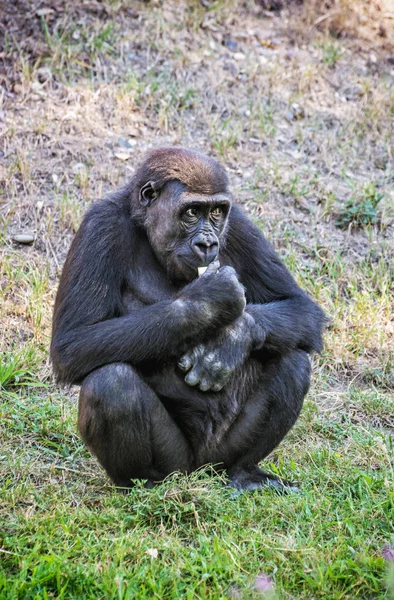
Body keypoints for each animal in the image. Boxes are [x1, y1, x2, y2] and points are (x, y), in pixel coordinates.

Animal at [50, 146, 324, 492]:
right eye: (192, 212)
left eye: (217, 212)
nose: (207, 243)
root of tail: (200, 470)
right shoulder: (100, 224)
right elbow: (73, 343)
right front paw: (208, 301)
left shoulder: (240, 224)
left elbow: (301, 307)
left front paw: (233, 338)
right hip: (178, 465)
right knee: (111, 382)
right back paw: (146, 485)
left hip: (219, 458)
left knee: (292, 360)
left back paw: (244, 472)